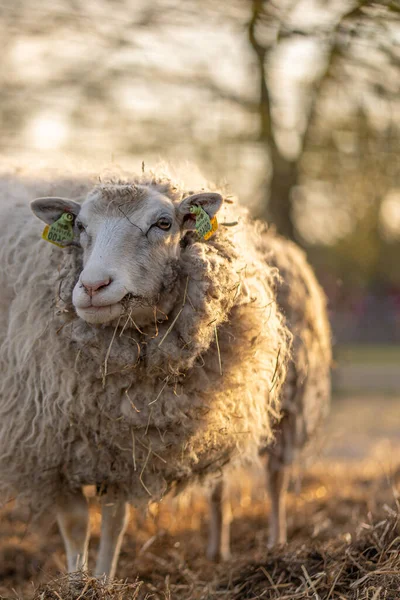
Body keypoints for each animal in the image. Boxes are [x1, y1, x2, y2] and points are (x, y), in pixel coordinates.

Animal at [0, 168, 332, 576]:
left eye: (163, 223)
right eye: (79, 225)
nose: (92, 286)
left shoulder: (123, 450)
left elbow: (114, 520)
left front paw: (102, 580)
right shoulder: (52, 448)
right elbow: (77, 524)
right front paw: (78, 580)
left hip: (285, 405)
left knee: (275, 477)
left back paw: (276, 545)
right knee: (225, 483)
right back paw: (220, 551)